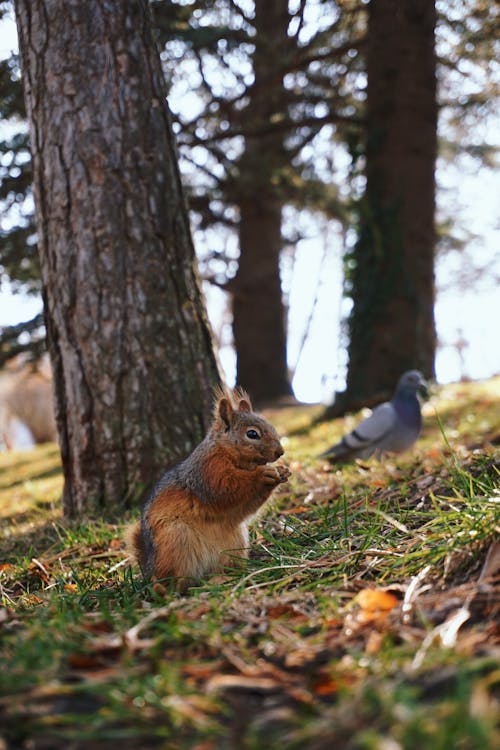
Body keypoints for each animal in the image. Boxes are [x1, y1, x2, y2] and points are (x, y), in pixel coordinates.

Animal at [126, 388, 290, 592]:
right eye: (252, 434)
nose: (280, 452)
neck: (229, 453)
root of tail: (149, 568)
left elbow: (244, 508)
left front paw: (283, 471)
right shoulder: (208, 471)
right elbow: (225, 488)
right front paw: (263, 474)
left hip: (235, 544)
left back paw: (226, 578)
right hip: (176, 540)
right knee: (173, 581)